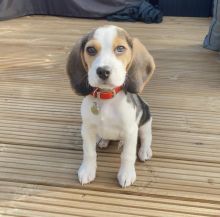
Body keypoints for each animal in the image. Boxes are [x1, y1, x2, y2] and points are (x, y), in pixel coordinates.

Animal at [67, 25, 155, 187]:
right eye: (91, 50)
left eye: (120, 48)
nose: (103, 71)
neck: (106, 98)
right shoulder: (87, 128)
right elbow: (89, 152)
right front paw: (87, 170)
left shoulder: (131, 130)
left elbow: (127, 155)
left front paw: (126, 174)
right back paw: (103, 140)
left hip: (145, 120)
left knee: (146, 137)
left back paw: (144, 150)